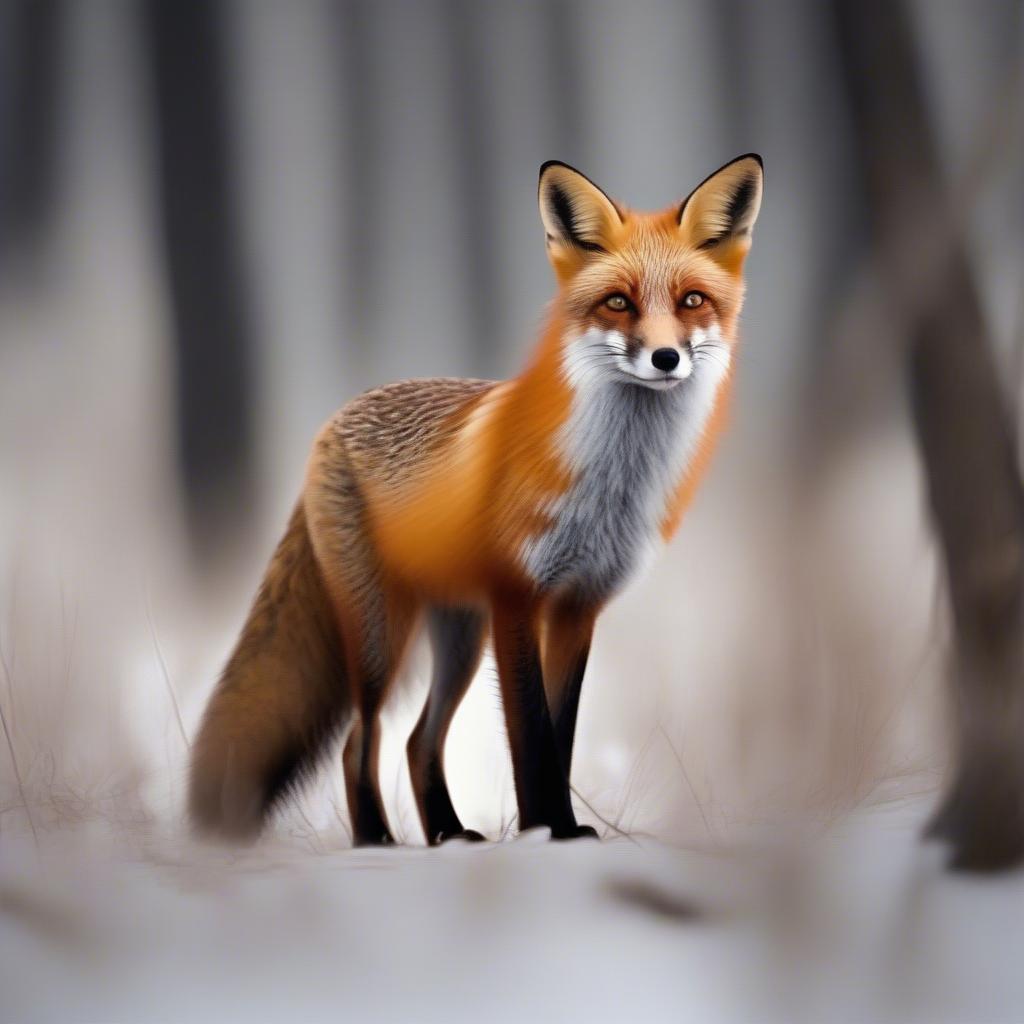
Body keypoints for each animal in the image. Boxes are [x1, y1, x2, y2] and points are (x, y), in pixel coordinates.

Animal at [192, 153, 765, 847]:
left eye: (692, 301)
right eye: (618, 303)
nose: (666, 357)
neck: (609, 486)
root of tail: (333, 420)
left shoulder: (578, 607)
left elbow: (561, 736)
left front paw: (560, 829)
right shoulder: (515, 599)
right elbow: (532, 737)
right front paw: (547, 831)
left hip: (459, 637)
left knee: (417, 741)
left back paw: (447, 831)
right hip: (382, 632)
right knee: (360, 739)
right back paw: (376, 840)